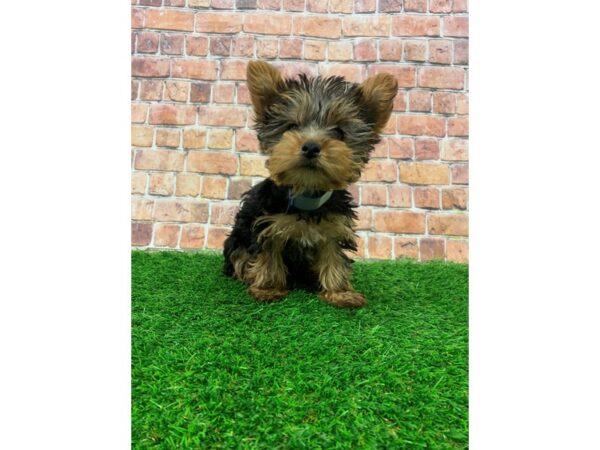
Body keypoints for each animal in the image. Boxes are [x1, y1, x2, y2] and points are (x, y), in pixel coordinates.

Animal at [223, 61, 396, 308]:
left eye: (339, 132)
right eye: (291, 127)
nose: (311, 146)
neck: (306, 194)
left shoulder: (334, 227)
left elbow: (334, 258)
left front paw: (340, 293)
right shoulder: (268, 225)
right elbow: (269, 257)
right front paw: (268, 288)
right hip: (237, 239)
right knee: (239, 257)